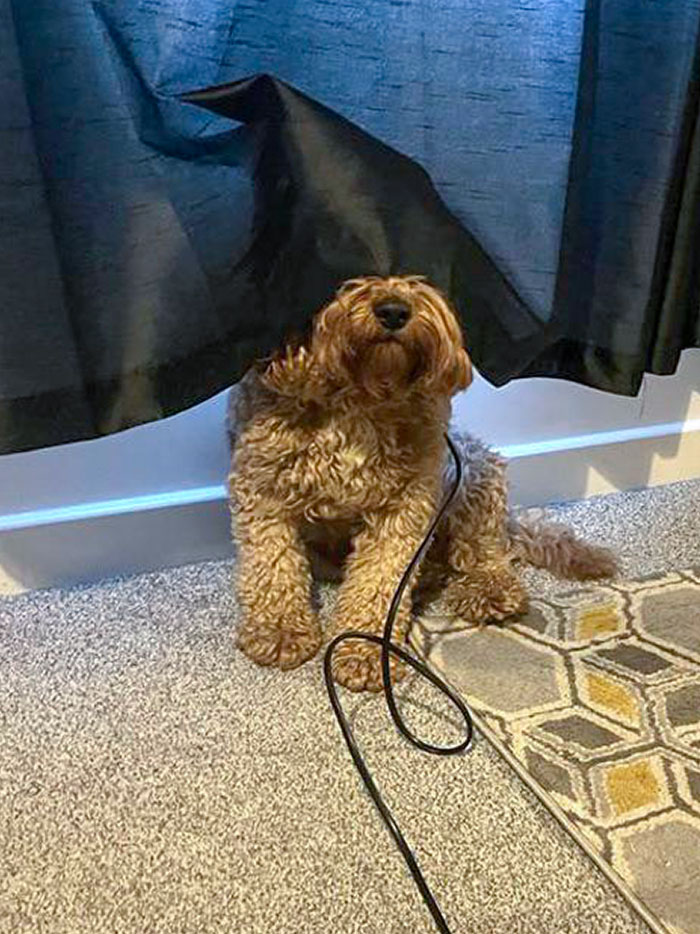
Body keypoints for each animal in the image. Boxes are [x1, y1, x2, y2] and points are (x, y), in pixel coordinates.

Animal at [227, 275, 617, 692]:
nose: (394, 311)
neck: (361, 391)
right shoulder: (261, 486)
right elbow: (271, 563)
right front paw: (279, 631)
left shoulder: (408, 501)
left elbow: (382, 577)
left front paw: (366, 651)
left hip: (474, 471)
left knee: (484, 550)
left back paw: (488, 588)